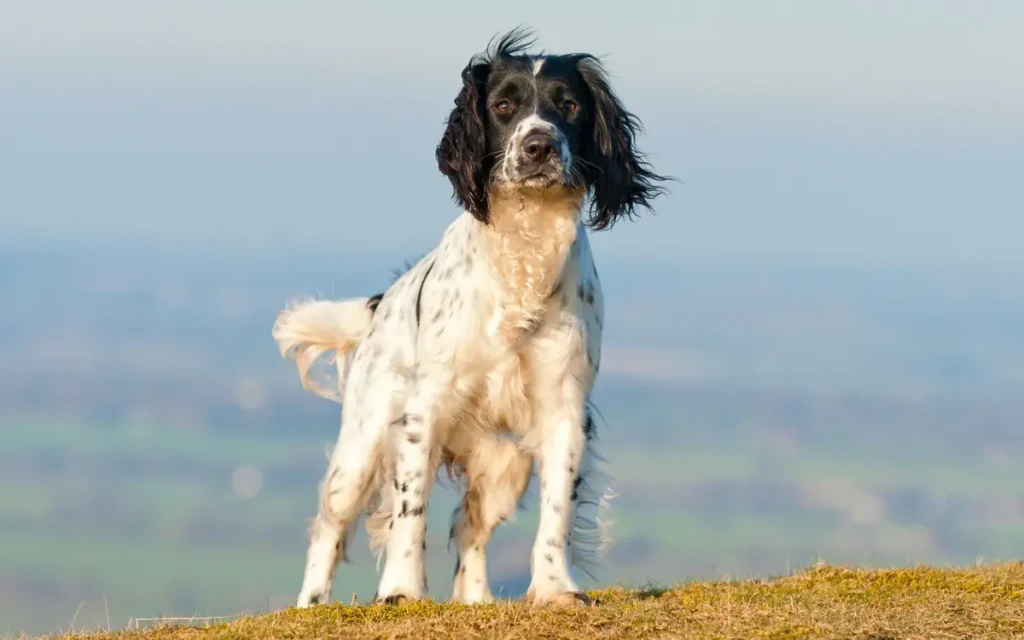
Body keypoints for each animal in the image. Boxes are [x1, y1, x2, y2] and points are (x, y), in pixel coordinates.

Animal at [276, 28, 667, 610]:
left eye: (569, 106)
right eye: (503, 106)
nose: (538, 146)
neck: (523, 254)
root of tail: (380, 304)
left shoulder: (564, 410)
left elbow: (556, 513)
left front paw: (554, 587)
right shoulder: (423, 412)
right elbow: (409, 514)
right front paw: (400, 591)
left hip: (505, 464)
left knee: (469, 527)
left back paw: (475, 599)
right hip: (362, 447)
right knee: (330, 526)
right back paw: (310, 606)